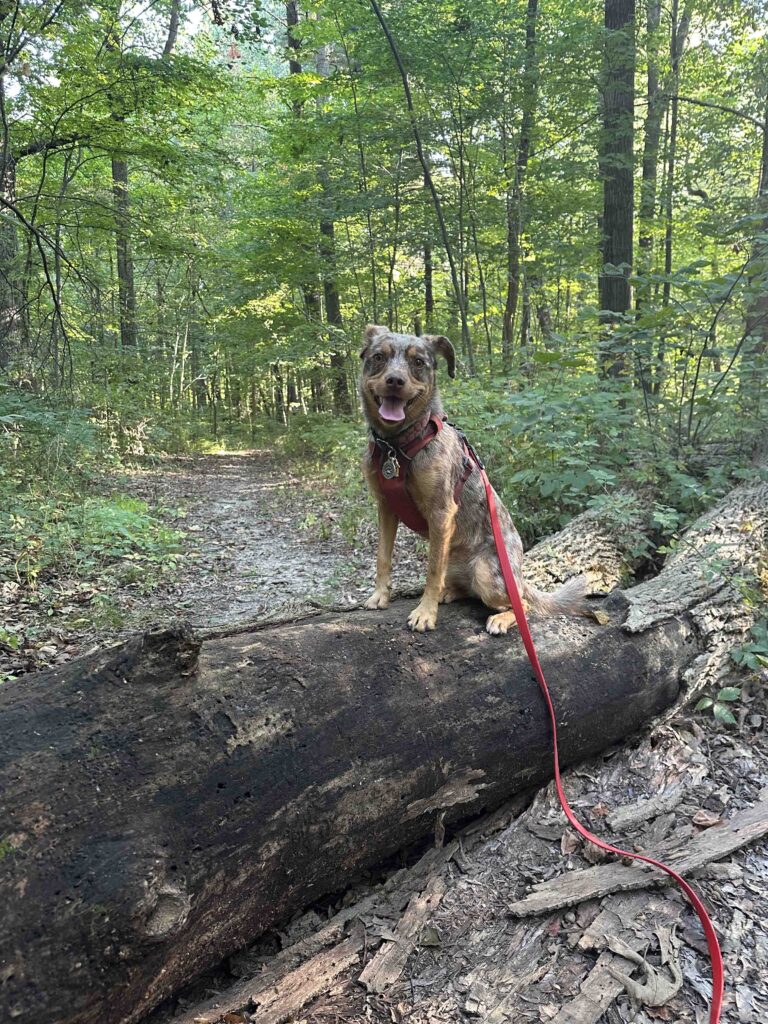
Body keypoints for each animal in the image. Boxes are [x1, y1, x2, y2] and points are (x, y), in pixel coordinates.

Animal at [360, 325, 589, 630]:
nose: (395, 380)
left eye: (418, 362)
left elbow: (431, 571)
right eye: (378, 357)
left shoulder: (441, 512)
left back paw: (500, 618)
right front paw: (380, 596)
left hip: (485, 573)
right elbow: (382, 557)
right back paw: (448, 593)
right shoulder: (386, 507)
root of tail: (519, 576)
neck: (397, 447)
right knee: (464, 589)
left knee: (522, 604)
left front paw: (425, 612)